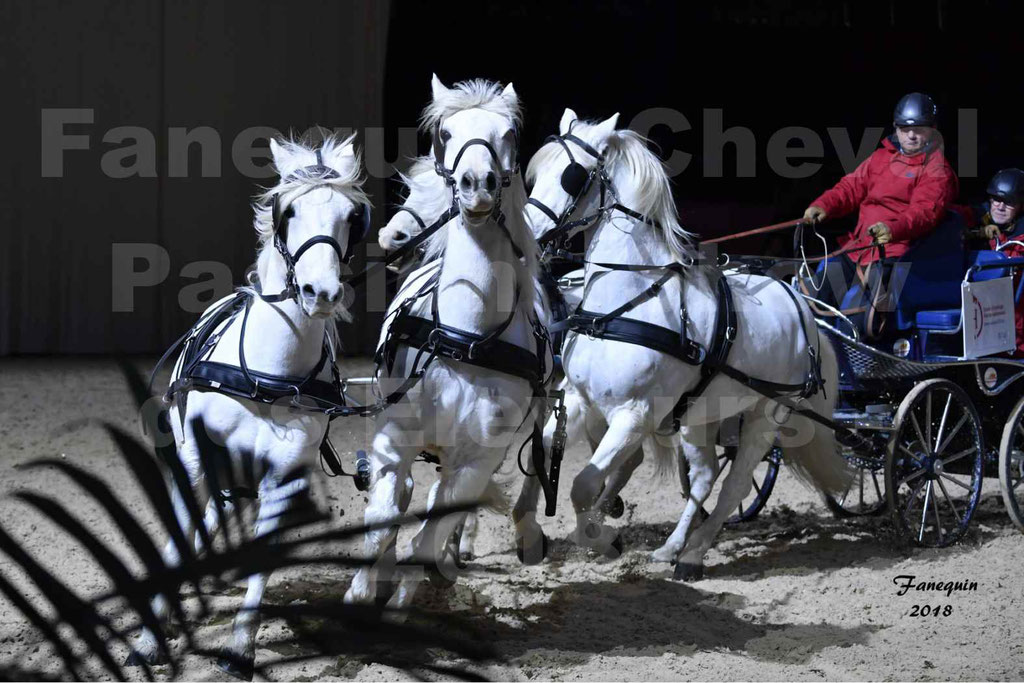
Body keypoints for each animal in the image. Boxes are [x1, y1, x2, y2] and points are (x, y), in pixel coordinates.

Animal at [125, 135, 370, 679]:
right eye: (288, 210)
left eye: (351, 215)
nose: (322, 292)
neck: (267, 376)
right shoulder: (196, 455)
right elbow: (179, 538)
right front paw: (150, 640)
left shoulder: (284, 474)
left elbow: (262, 557)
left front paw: (239, 650)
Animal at [346, 77, 552, 610]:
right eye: (445, 133)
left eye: (509, 133)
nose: (476, 182)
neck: (468, 338)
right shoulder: (393, 437)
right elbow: (382, 523)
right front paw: (362, 591)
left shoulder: (479, 457)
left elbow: (432, 531)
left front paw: (408, 591)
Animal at [516, 109, 851, 581]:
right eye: (534, 173)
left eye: (572, 176)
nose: (527, 237)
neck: (624, 303)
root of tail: (800, 304)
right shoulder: (578, 398)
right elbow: (546, 452)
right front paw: (539, 536)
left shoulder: (634, 416)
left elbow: (584, 484)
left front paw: (602, 539)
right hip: (701, 414)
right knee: (706, 474)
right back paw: (672, 547)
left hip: (767, 414)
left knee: (733, 484)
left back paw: (692, 555)